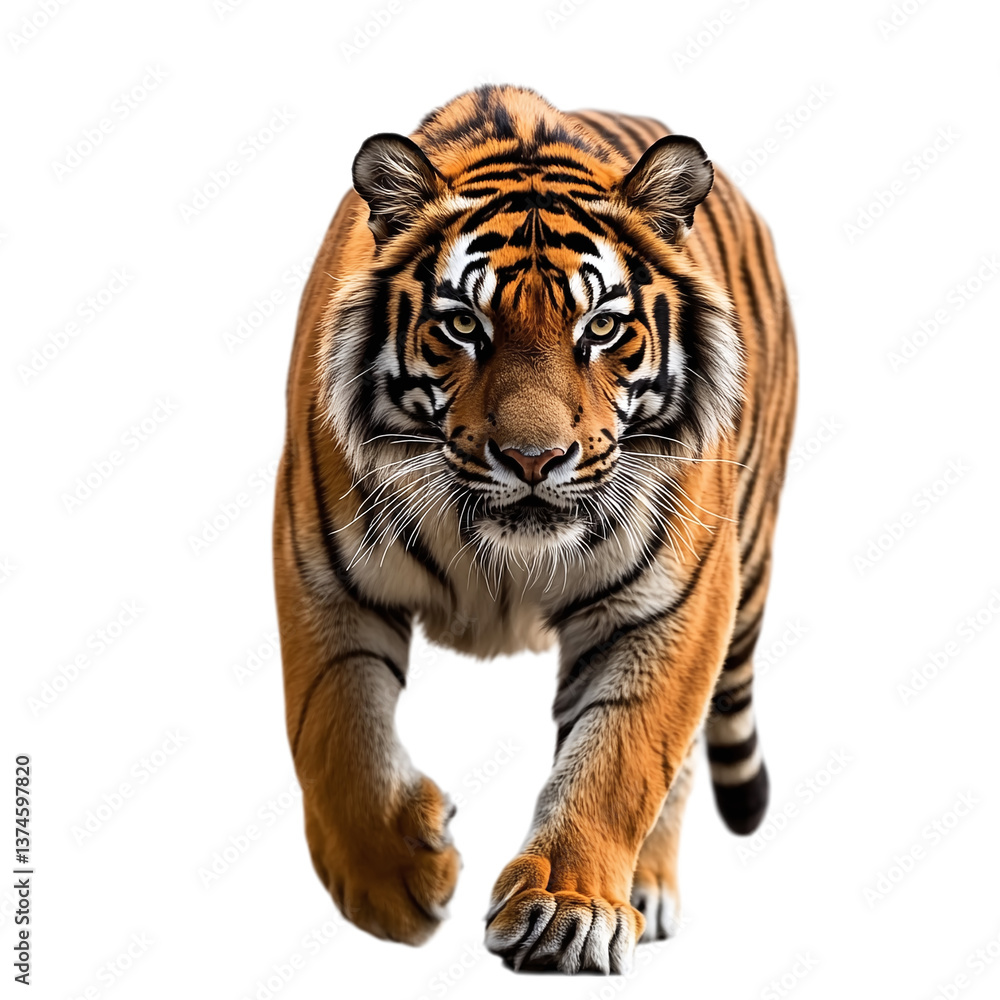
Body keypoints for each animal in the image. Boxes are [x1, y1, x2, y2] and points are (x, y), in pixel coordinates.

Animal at [272, 84, 796, 975]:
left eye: (602, 329)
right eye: (462, 327)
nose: (533, 457)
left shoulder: (673, 601)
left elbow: (623, 756)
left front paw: (568, 910)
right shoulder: (320, 575)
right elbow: (335, 735)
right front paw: (394, 880)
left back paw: (645, 886)